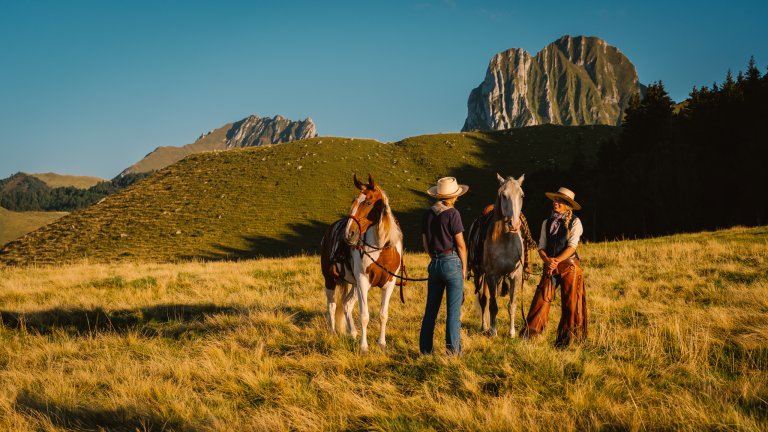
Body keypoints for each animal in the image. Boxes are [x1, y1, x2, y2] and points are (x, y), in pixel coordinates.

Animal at [320, 174, 404, 352]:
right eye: (354, 200)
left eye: (368, 203)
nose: (348, 233)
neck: (381, 248)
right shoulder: (363, 281)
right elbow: (364, 315)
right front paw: (364, 347)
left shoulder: (389, 283)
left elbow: (383, 314)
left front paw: (381, 343)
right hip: (330, 280)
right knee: (331, 306)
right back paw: (332, 334)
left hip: (353, 284)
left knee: (346, 304)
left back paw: (352, 333)